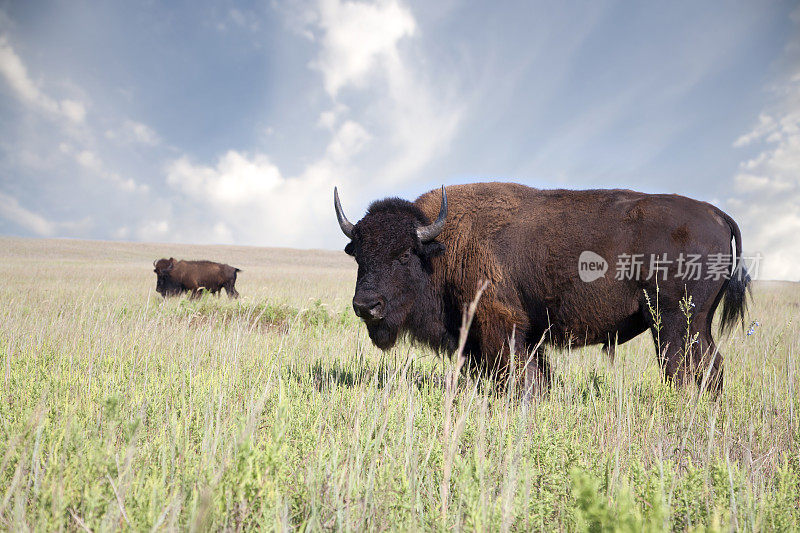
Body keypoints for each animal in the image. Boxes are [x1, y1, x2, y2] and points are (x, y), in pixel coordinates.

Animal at [332, 183, 752, 394]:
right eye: (359, 255)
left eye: (404, 254)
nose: (366, 306)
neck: (441, 244)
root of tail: (717, 213)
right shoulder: (525, 335)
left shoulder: (500, 326)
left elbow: (517, 375)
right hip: (696, 325)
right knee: (711, 367)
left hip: (673, 322)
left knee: (682, 370)